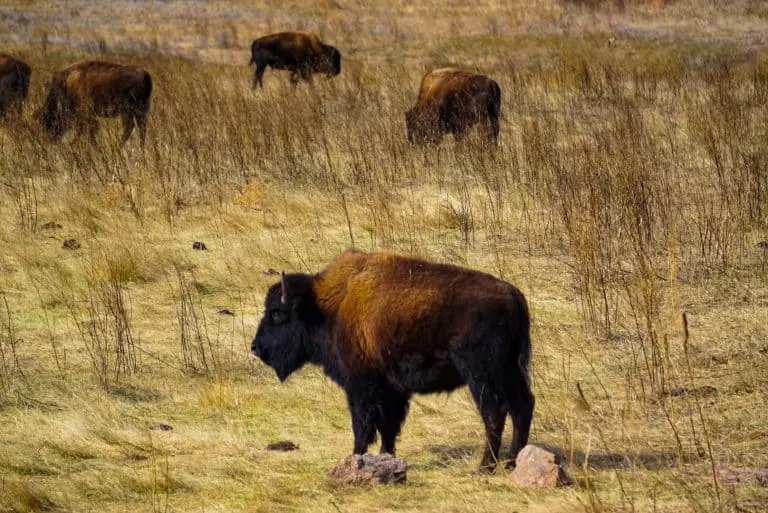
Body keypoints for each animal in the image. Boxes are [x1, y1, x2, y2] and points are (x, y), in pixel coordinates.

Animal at [252, 250, 536, 470]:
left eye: (277, 314)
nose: (256, 348)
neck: (326, 308)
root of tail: (513, 294)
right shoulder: (391, 389)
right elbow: (388, 426)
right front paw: (386, 457)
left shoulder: (360, 385)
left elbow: (363, 424)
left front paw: (356, 456)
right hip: (510, 369)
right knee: (522, 406)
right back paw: (512, 461)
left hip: (481, 374)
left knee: (494, 411)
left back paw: (485, 467)